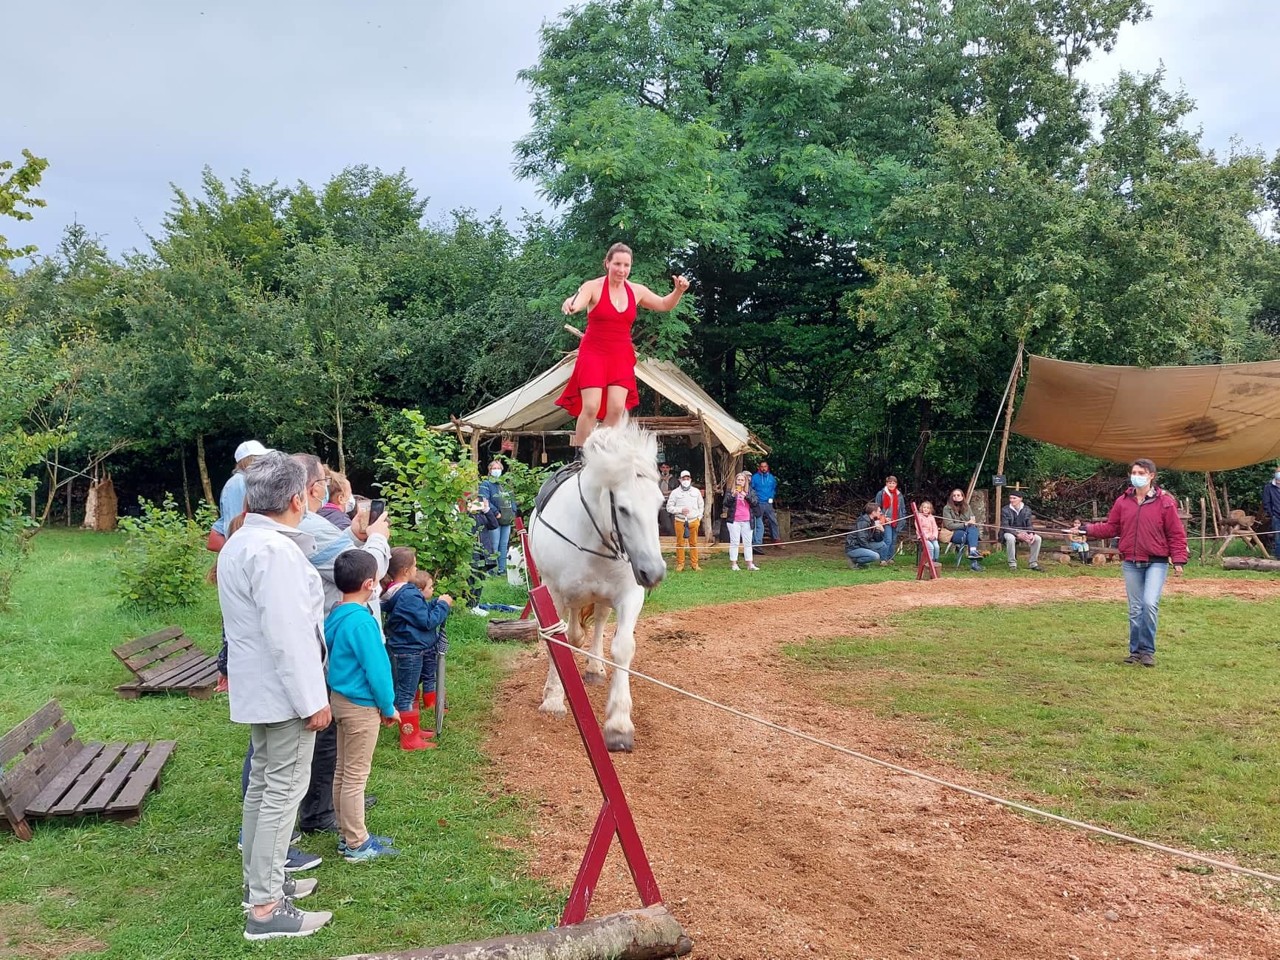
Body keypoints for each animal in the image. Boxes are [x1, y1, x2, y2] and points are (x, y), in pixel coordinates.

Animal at [529, 427, 670, 752]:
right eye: (623, 509)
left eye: (660, 504)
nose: (654, 572)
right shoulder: (553, 594)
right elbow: (559, 641)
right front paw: (553, 699)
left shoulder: (630, 596)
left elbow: (623, 647)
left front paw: (619, 724)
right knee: (573, 633)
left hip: (603, 599)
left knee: (598, 626)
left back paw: (594, 668)